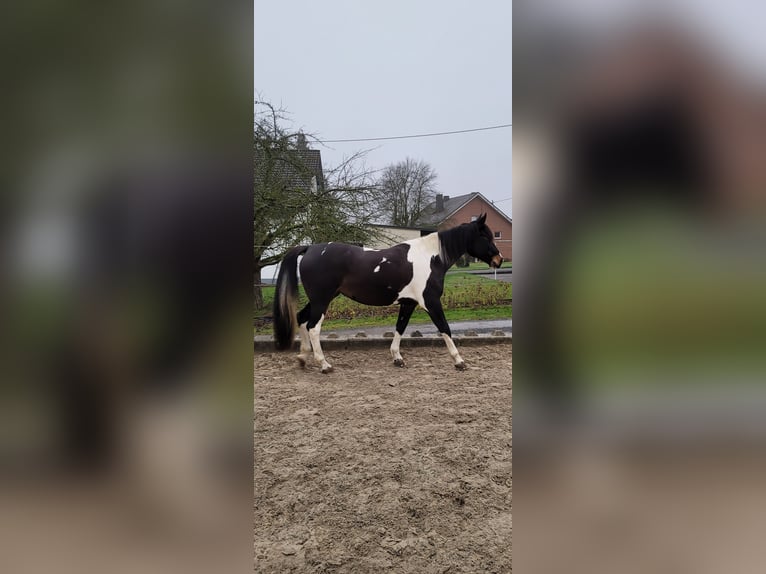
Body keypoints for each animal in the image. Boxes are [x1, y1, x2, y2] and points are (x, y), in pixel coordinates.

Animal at [272, 213, 504, 373]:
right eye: (486, 237)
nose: (499, 260)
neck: (430, 257)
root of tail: (310, 248)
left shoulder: (408, 303)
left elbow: (400, 327)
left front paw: (397, 358)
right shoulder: (431, 302)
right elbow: (444, 328)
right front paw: (459, 361)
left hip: (319, 299)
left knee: (301, 319)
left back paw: (303, 358)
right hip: (322, 300)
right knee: (313, 327)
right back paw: (324, 365)